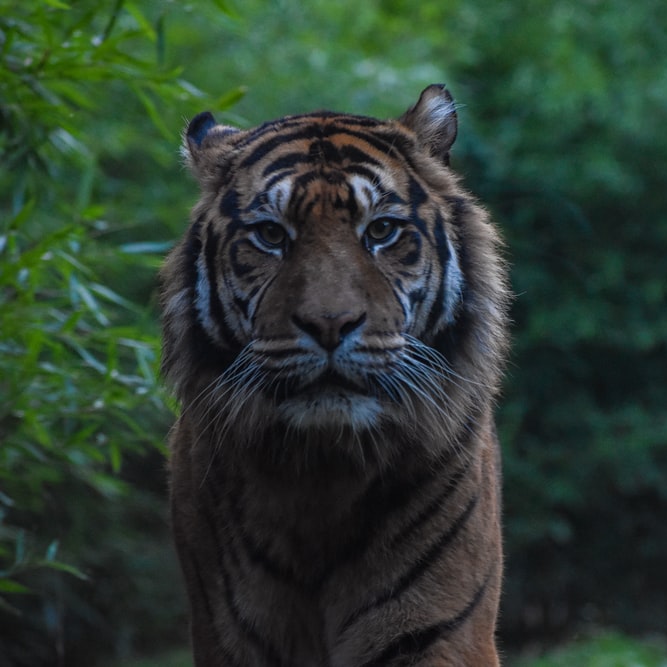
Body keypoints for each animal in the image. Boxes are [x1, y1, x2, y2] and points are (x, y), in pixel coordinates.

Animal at [160, 85, 512, 667]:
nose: (329, 323)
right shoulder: (227, 637)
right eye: (270, 235)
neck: (321, 473)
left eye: (382, 230)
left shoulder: (436, 630)